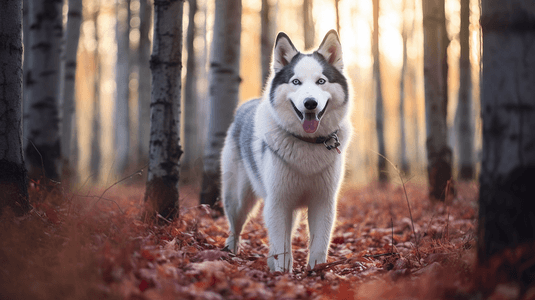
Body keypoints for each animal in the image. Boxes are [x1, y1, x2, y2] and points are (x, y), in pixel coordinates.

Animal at [221, 29, 352, 272]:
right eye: (296, 82)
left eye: (321, 81)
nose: (310, 103)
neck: (307, 143)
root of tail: (244, 106)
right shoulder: (279, 202)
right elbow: (282, 248)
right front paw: (282, 275)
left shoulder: (323, 202)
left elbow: (318, 246)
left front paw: (316, 272)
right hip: (239, 201)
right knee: (235, 229)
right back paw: (231, 253)